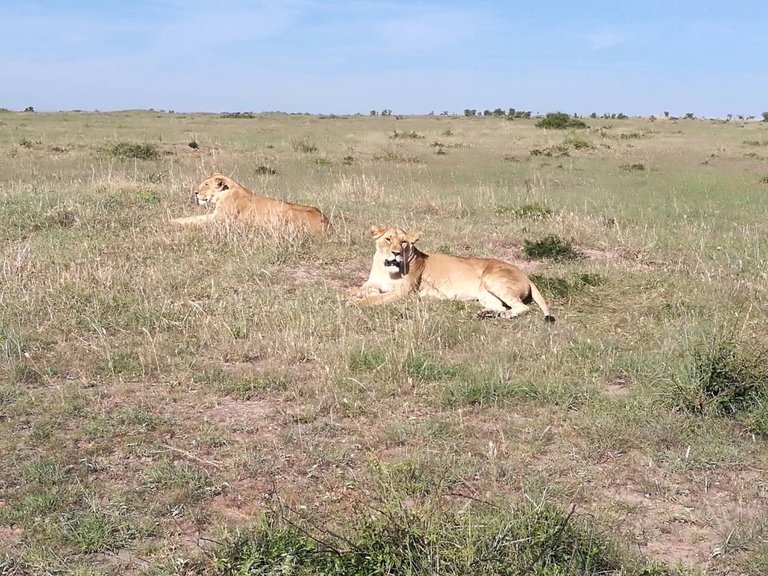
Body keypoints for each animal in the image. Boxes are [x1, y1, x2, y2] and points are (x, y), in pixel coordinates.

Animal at [170, 172, 330, 233]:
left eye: (206, 185)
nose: (195, 193)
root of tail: (329, 224)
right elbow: (192, 218)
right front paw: (173, 220)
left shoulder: (219, 220)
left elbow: (194, 221)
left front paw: (173, 224)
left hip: (288, 212)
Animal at [344, 225, 556, 322]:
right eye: (388, 239)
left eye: (404, 242)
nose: (396, 252)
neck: (385, 268)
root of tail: (525, 273)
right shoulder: (372, 282)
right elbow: (355, 291)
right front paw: (345, 298)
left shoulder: (404, 292)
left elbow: (374, 299)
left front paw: (354, 303)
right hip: (485, 294)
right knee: (501, 306)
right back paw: (487, 314)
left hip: (493, 279)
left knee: (521, 307)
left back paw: (502, 315)